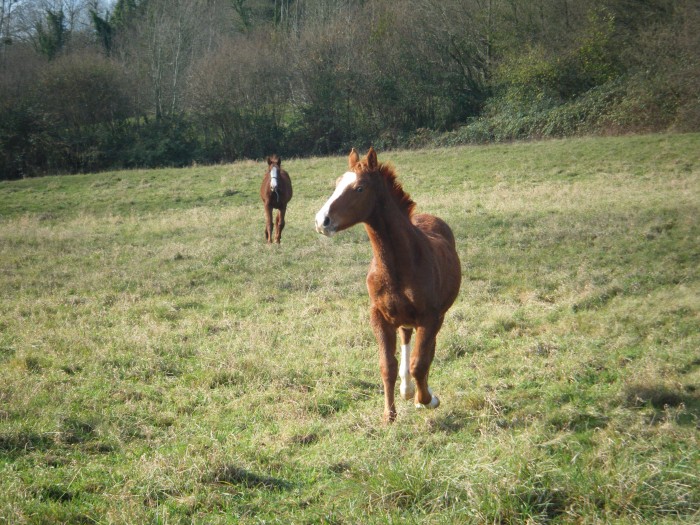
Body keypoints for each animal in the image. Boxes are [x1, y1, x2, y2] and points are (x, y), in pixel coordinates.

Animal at [316, 147, 460, 422]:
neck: (398, 265)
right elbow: (387, 365)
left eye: (360, 188)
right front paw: (389, 415)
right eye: (338, 183)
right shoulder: (379, 316)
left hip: (437, 316)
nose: (322, 221)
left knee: (427, 350)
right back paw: (406, 389)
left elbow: (420, 362)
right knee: (406, 338)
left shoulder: (429, 317)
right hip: (403, 317)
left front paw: (428, 400)